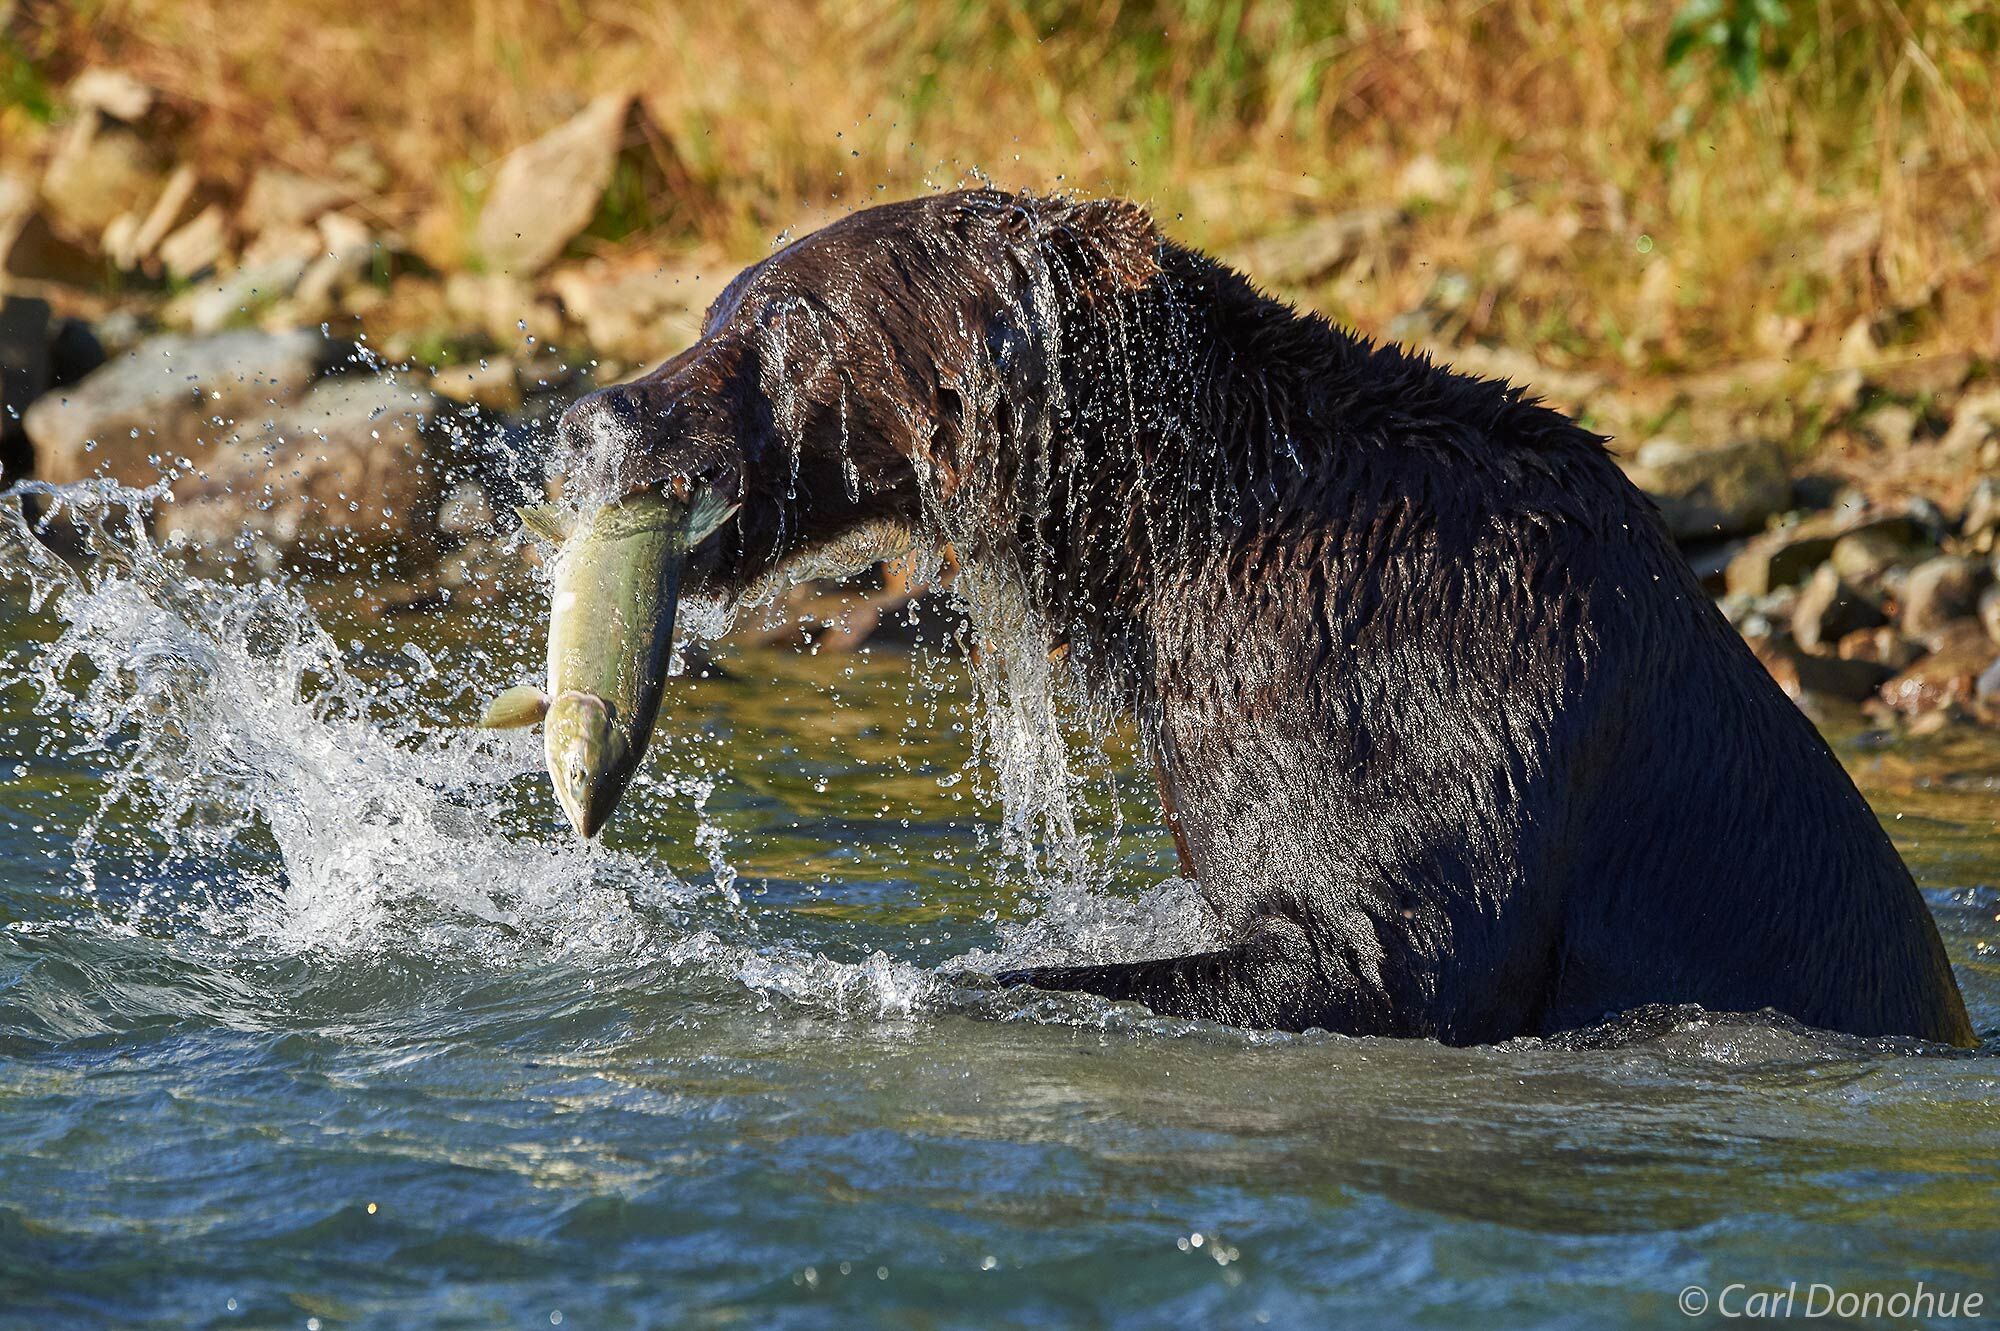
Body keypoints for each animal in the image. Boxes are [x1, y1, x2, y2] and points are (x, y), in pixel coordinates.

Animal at [560, 186, 1968, 1039]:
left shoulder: (1415, 683)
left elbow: (1391, 945)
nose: (595, 417)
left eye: (784, 315)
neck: (1161, 544)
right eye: (717, 305)